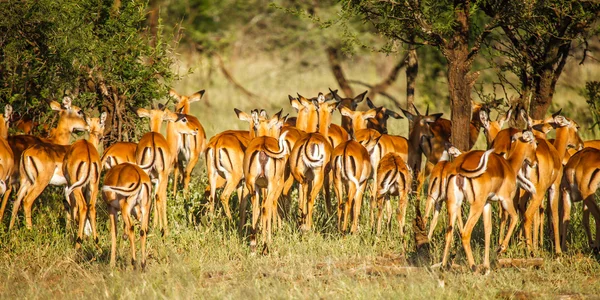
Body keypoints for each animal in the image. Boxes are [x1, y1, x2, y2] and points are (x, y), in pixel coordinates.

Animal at [63, 112, 106, 248]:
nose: (101, 137)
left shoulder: (69, 185)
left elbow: (72, 207)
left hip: (76, 187)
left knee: (82, 207)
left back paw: (78, 243)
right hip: (93, 186)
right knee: (91, 208)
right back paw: (97, 244)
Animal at [134, 105, 198, 237]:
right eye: (184, 119)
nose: (196, 129)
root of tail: (152, 144)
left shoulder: (153, 180)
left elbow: (152, 198)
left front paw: (153, 226)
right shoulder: (163, 177)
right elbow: (161, 198)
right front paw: (161, 228)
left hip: (145, 174)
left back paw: (144, 229)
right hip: (162, 176)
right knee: (159, 196)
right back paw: (165, 231)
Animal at [440, 130, 540, 270]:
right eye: (535, 143)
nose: (535, 162)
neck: (508, 166)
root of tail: (459, 167)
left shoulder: (487, 203)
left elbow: (488, 230)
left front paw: (487, 266)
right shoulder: (505, 200)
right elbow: (514, 217)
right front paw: (501, 248)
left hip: (454, 204)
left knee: (449, 233)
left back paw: (443, 266)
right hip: (476, 205)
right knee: (465, 233)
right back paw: (473, 267)